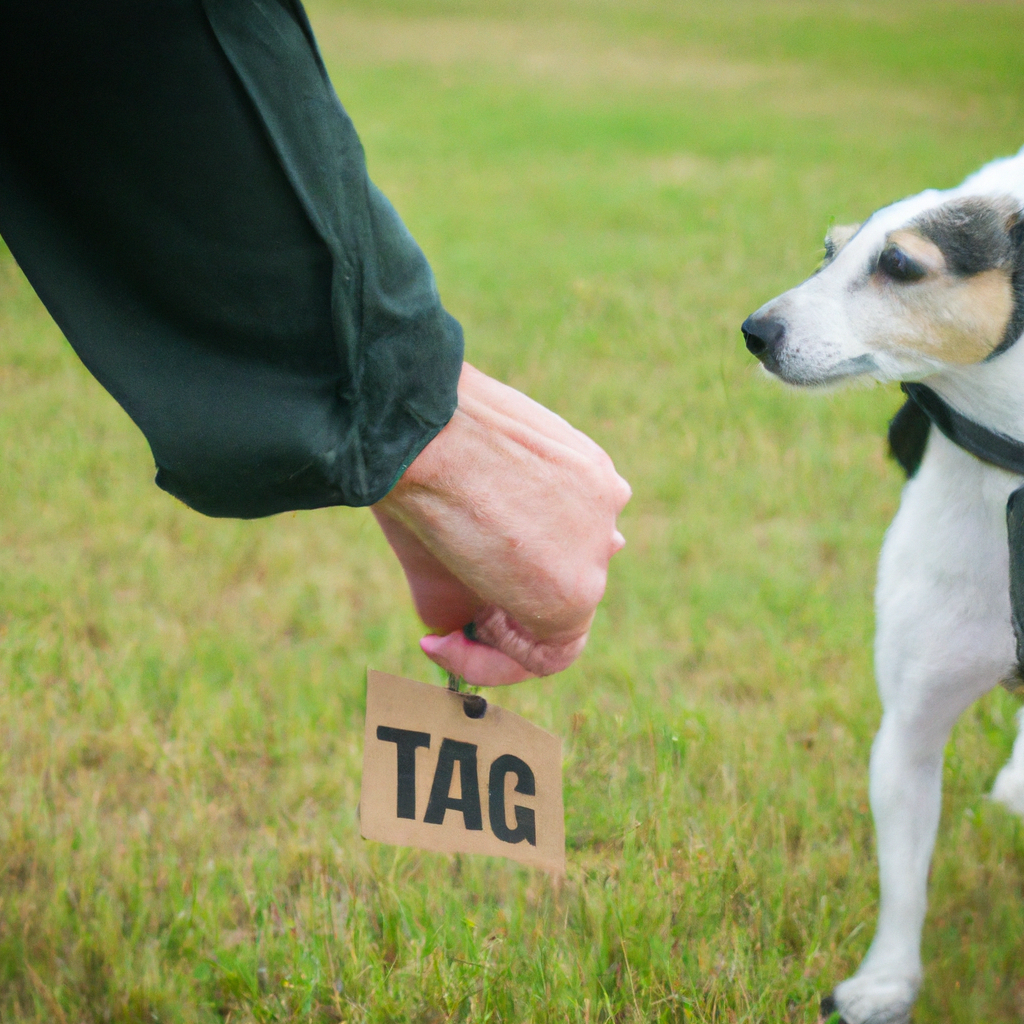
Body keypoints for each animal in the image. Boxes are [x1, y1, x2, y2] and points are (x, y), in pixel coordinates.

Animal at [741, 146, 1024, 1024]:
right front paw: (888, 982)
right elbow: (906, 881)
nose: (755, 331)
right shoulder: (908, 729)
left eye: (899, 264)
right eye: (828, 251)